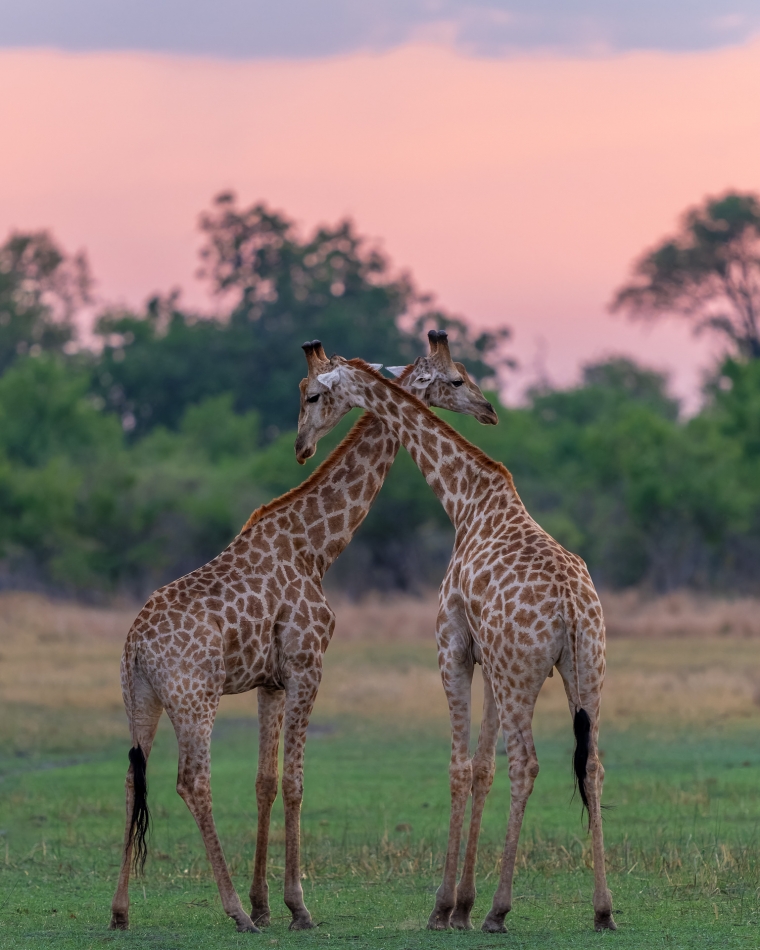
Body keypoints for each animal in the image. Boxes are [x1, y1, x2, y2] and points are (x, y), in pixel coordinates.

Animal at [110, 334, 496, 936]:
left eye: (311, 394)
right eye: (456, 379)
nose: (487, 409)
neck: (316, 548)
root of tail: (135, 649)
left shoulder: (270, 680)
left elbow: (265, 782)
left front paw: (266, 904)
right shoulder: (307, 664)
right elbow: (294, 781)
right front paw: (295, 908)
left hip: (141, 700)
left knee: (134, 778)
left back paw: (122, 910)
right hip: (195, 697)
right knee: (192, 780)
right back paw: (232, 911)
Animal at [296, 352, 616, 936]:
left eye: (314, 393)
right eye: (458, 378)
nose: (301, 444)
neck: (464, 499)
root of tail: (571, 607)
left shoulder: (453, 647)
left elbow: (458, 767)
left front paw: (445, 907)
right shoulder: (489, 660)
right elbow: (481, 767)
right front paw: (461, 904)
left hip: (523, 672)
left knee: (527, 764)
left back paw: (499, 910)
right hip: (586, 669)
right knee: (592, 765)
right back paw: (602, 910)